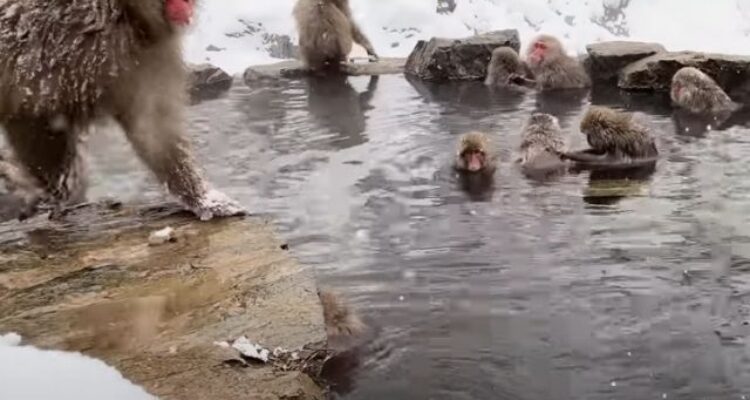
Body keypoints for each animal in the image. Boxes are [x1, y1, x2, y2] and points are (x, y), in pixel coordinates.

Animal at [0, 0, 245, 221]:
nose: (186, 10)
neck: (124, 12)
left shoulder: (142, 51)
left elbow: (151, 126)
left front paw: (203, 199)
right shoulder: (58, 40)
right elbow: (34, 116)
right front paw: (55, 189)